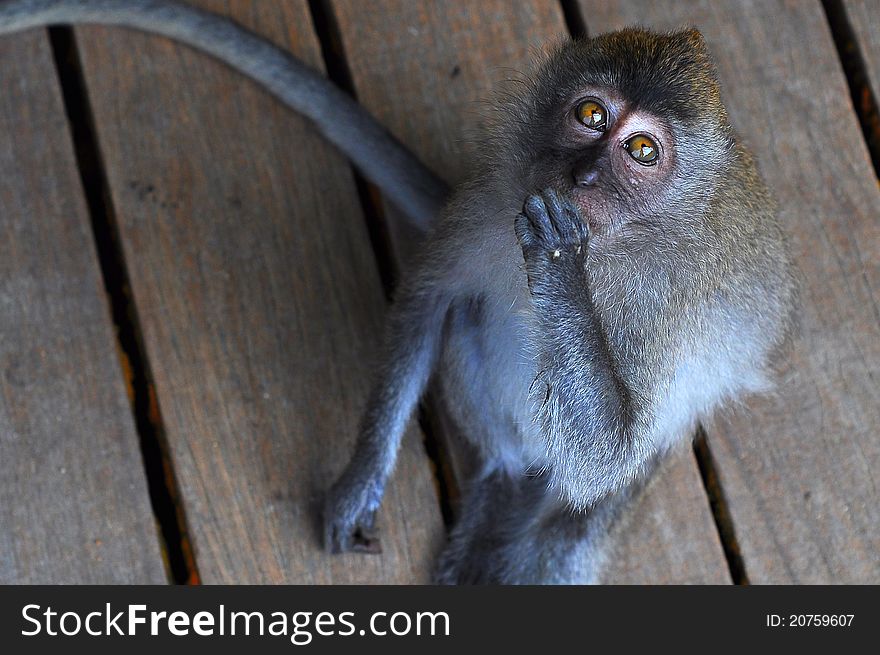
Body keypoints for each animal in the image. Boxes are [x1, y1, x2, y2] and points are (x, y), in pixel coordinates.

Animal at [0, 0, 796, 584]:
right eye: (592, 115)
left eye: (642, 151)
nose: (586, 176)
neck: (618, 238)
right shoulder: (488, 202)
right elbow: (429, 299)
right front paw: (361, 478)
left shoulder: (666, 305)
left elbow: (611, 447)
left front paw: (558, 265)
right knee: (474, 331)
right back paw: (498, 487)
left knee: (583, 513)